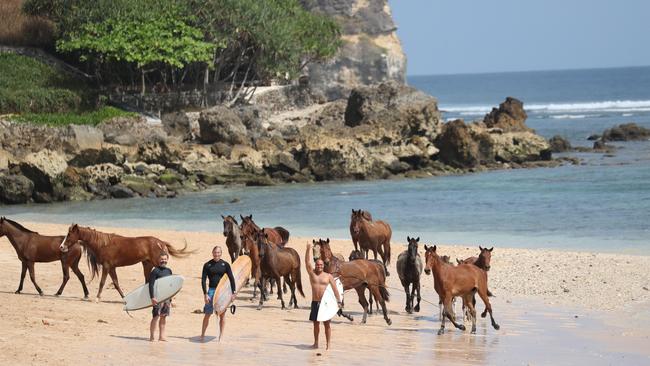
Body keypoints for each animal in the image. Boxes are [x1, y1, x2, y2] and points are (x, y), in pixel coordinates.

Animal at [59, 224, 192, 302]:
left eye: (69, 234)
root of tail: (161, 242)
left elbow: (102, 282)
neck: (103, 244)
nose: (61, 247)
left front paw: (97, 298)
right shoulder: (111, 268)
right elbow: (116, 283)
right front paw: (124, 298)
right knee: (148, 280)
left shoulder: (106, 266)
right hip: (147, 264)